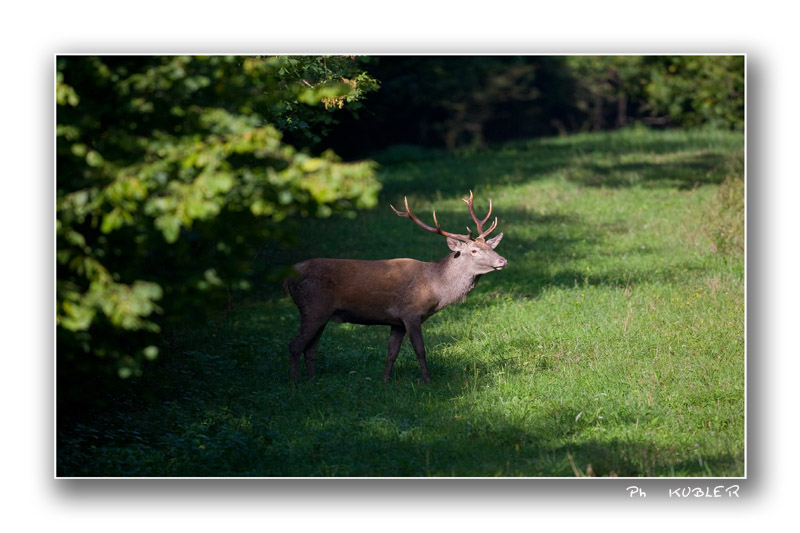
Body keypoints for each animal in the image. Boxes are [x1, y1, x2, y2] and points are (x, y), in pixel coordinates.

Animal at [284, 191, 506, 383]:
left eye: (490, 246)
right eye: (474, 250)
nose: (503, 260)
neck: (435, 287)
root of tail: (288, 279)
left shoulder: (396, 321)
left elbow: (392, 352)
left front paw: (385, 380)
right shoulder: (411, 313)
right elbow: (420, 349)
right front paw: (427, 380)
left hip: (322, 314)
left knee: (310, 348)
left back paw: (312, 379)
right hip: (313, 307)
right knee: (294, 345)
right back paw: (295, 382)